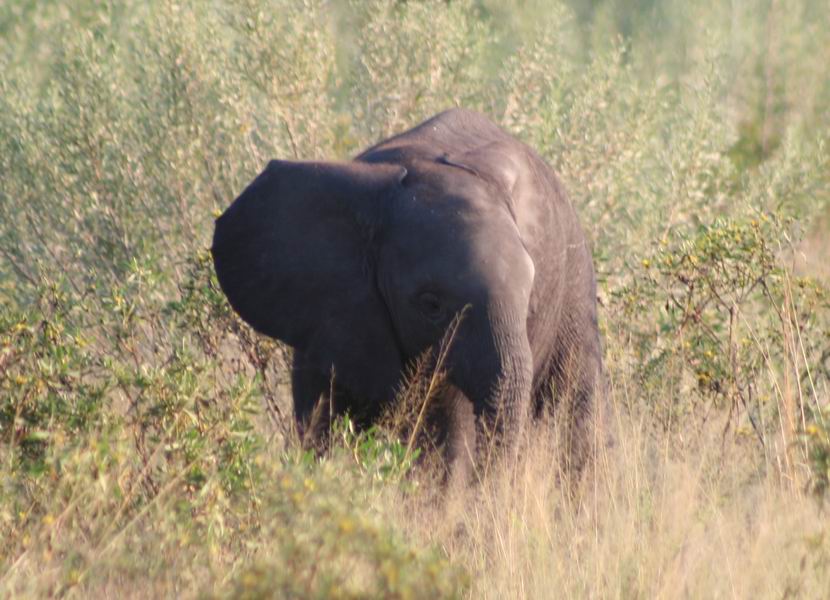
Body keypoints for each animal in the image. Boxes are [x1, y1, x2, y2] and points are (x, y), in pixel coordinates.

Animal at [214, 108, 604, 482]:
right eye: (431, 305)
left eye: (529, 305)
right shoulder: (328, 314)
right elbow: (318, 424)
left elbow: (447, 445)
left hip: (575, 284)